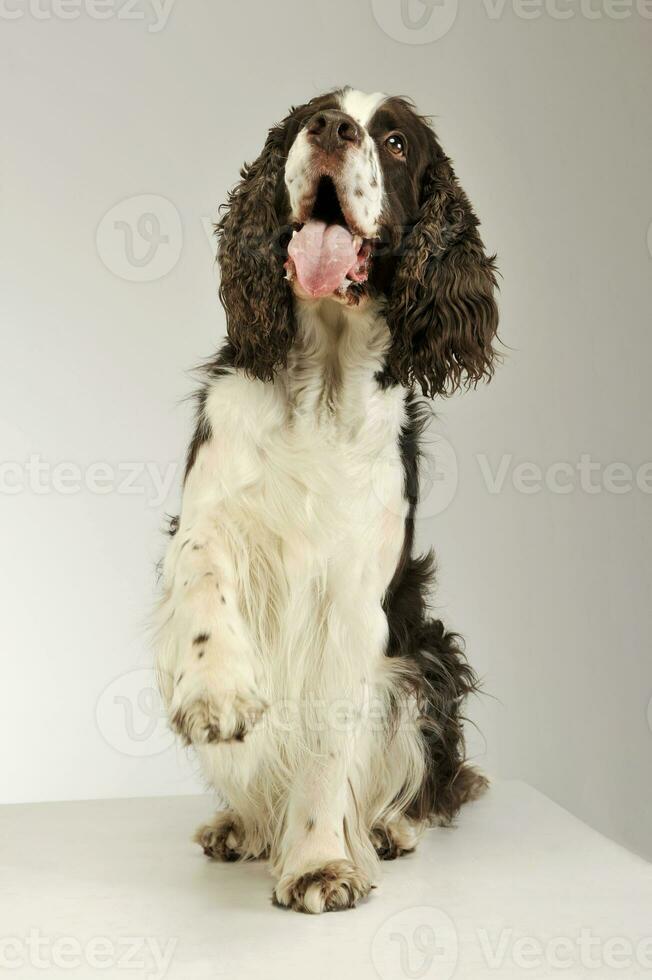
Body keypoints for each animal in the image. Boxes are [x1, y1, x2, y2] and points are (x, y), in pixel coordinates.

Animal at [154, 88, 500, 916]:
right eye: (305, 117)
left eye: (397, 141)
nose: (333, 131)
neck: (324, 383)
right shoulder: (207, 519)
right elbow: (204, 579)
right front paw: (217, 690)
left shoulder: (351, 596)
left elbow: (327, 743)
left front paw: (317, 863)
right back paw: (242, 822)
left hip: (429, 655)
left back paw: (388, 826)